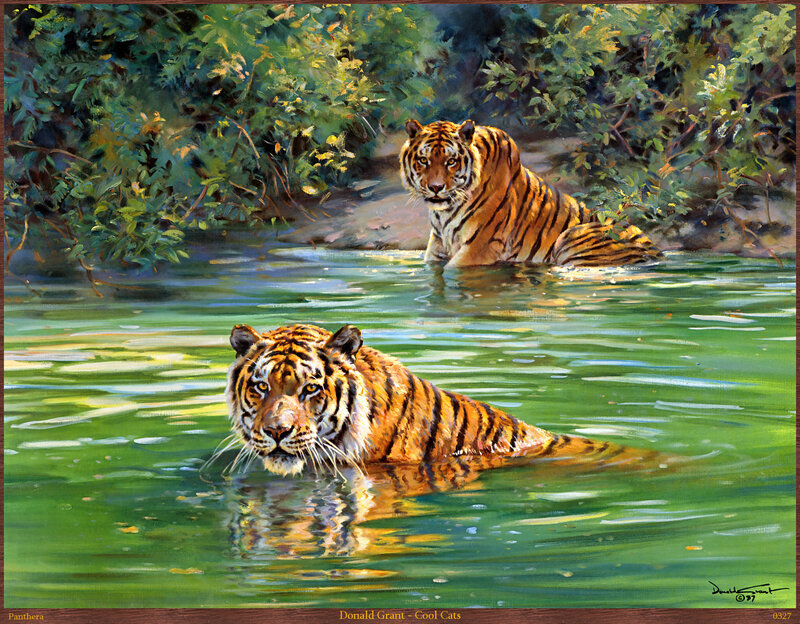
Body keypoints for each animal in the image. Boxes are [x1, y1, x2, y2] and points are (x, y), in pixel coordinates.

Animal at [399, 119, 662, 268]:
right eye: (423, 160)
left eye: (451, 161)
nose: (435, 188)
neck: (444, 213)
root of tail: (656, 251)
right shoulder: (438, 248)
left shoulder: (480, 245)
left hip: (571, 238)